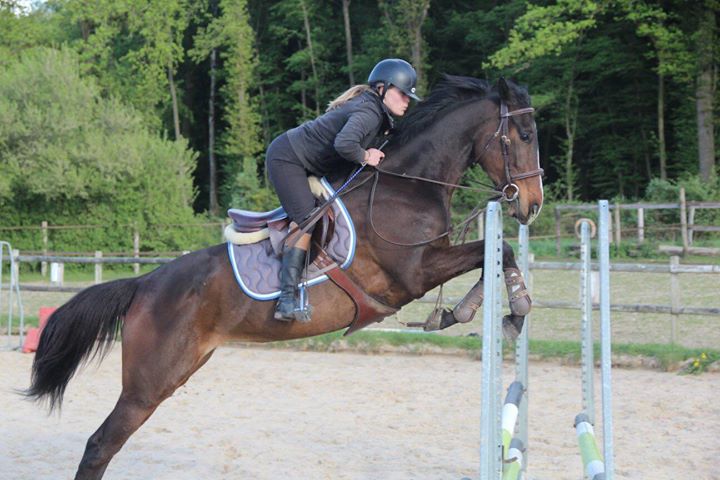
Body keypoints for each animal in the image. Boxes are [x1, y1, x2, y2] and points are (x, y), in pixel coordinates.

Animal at [22, 75, 544, 480]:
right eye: (522, 134)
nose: (533, 204)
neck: (408, 186)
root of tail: (143, 286)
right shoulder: (412, 273)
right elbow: (495, 249)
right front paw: (506, 308)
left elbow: (495, 253)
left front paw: (485, 310)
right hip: (147, 384)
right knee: (99, 445)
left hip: (181, 368)